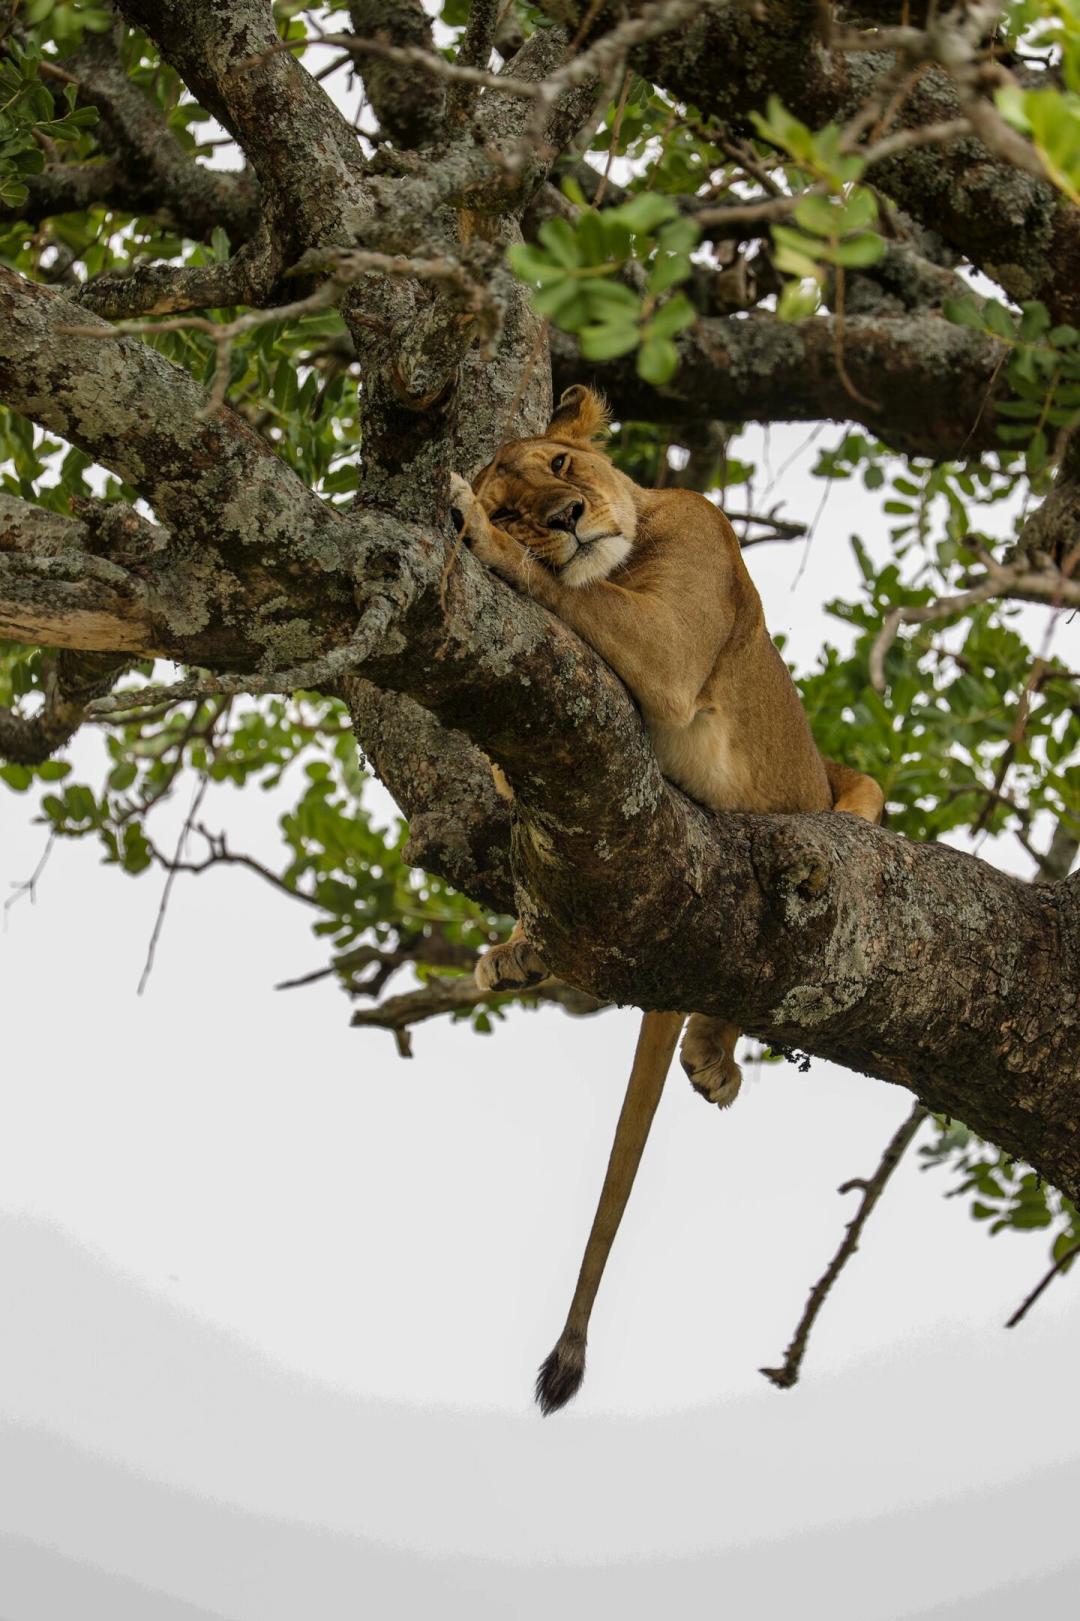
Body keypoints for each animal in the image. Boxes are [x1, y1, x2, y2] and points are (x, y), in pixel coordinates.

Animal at [450, 384, 883, 1414]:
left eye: (560, 468)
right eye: (523, 503)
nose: (565, 517)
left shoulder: (679, 634)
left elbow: (579, 589)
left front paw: (474, 532)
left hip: (841, 806)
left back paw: (710, 1053)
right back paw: (525, 952)